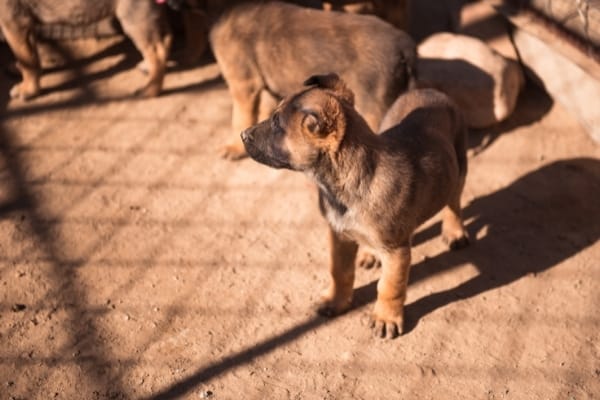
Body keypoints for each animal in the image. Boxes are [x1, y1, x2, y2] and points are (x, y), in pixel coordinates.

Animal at [0, 0, 173, 99]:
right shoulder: (25, 24)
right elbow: (31, 56)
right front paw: (22, 72)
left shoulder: (14, 21)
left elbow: (27, 61)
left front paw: (28, 89)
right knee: (166, 39)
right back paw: (148, 68)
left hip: (132, 15)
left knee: (157, 52)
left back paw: (150, 90)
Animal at [241, 74, 472, 338]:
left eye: (277, 124)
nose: (243, 134)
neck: (346, 183)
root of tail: (428, 90)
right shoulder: (339, 235)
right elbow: (339, 271)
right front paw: (336, 301)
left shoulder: (397, 251)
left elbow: (389, 287)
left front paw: (385, 318)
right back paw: (370, 253)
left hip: (459, 168)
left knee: (454, 203)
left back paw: (454, 232)